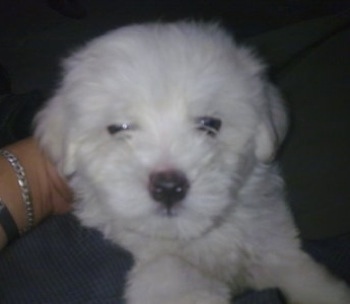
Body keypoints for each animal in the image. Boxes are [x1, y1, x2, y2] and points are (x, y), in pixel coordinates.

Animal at [34, 22, 350, 304]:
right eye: (119, 128)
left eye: (209, 124)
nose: (168, 187)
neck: (194, 236)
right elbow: (170, 269)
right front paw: (190, 294)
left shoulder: (271, 240)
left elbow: (297, 271)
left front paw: (327, 293)